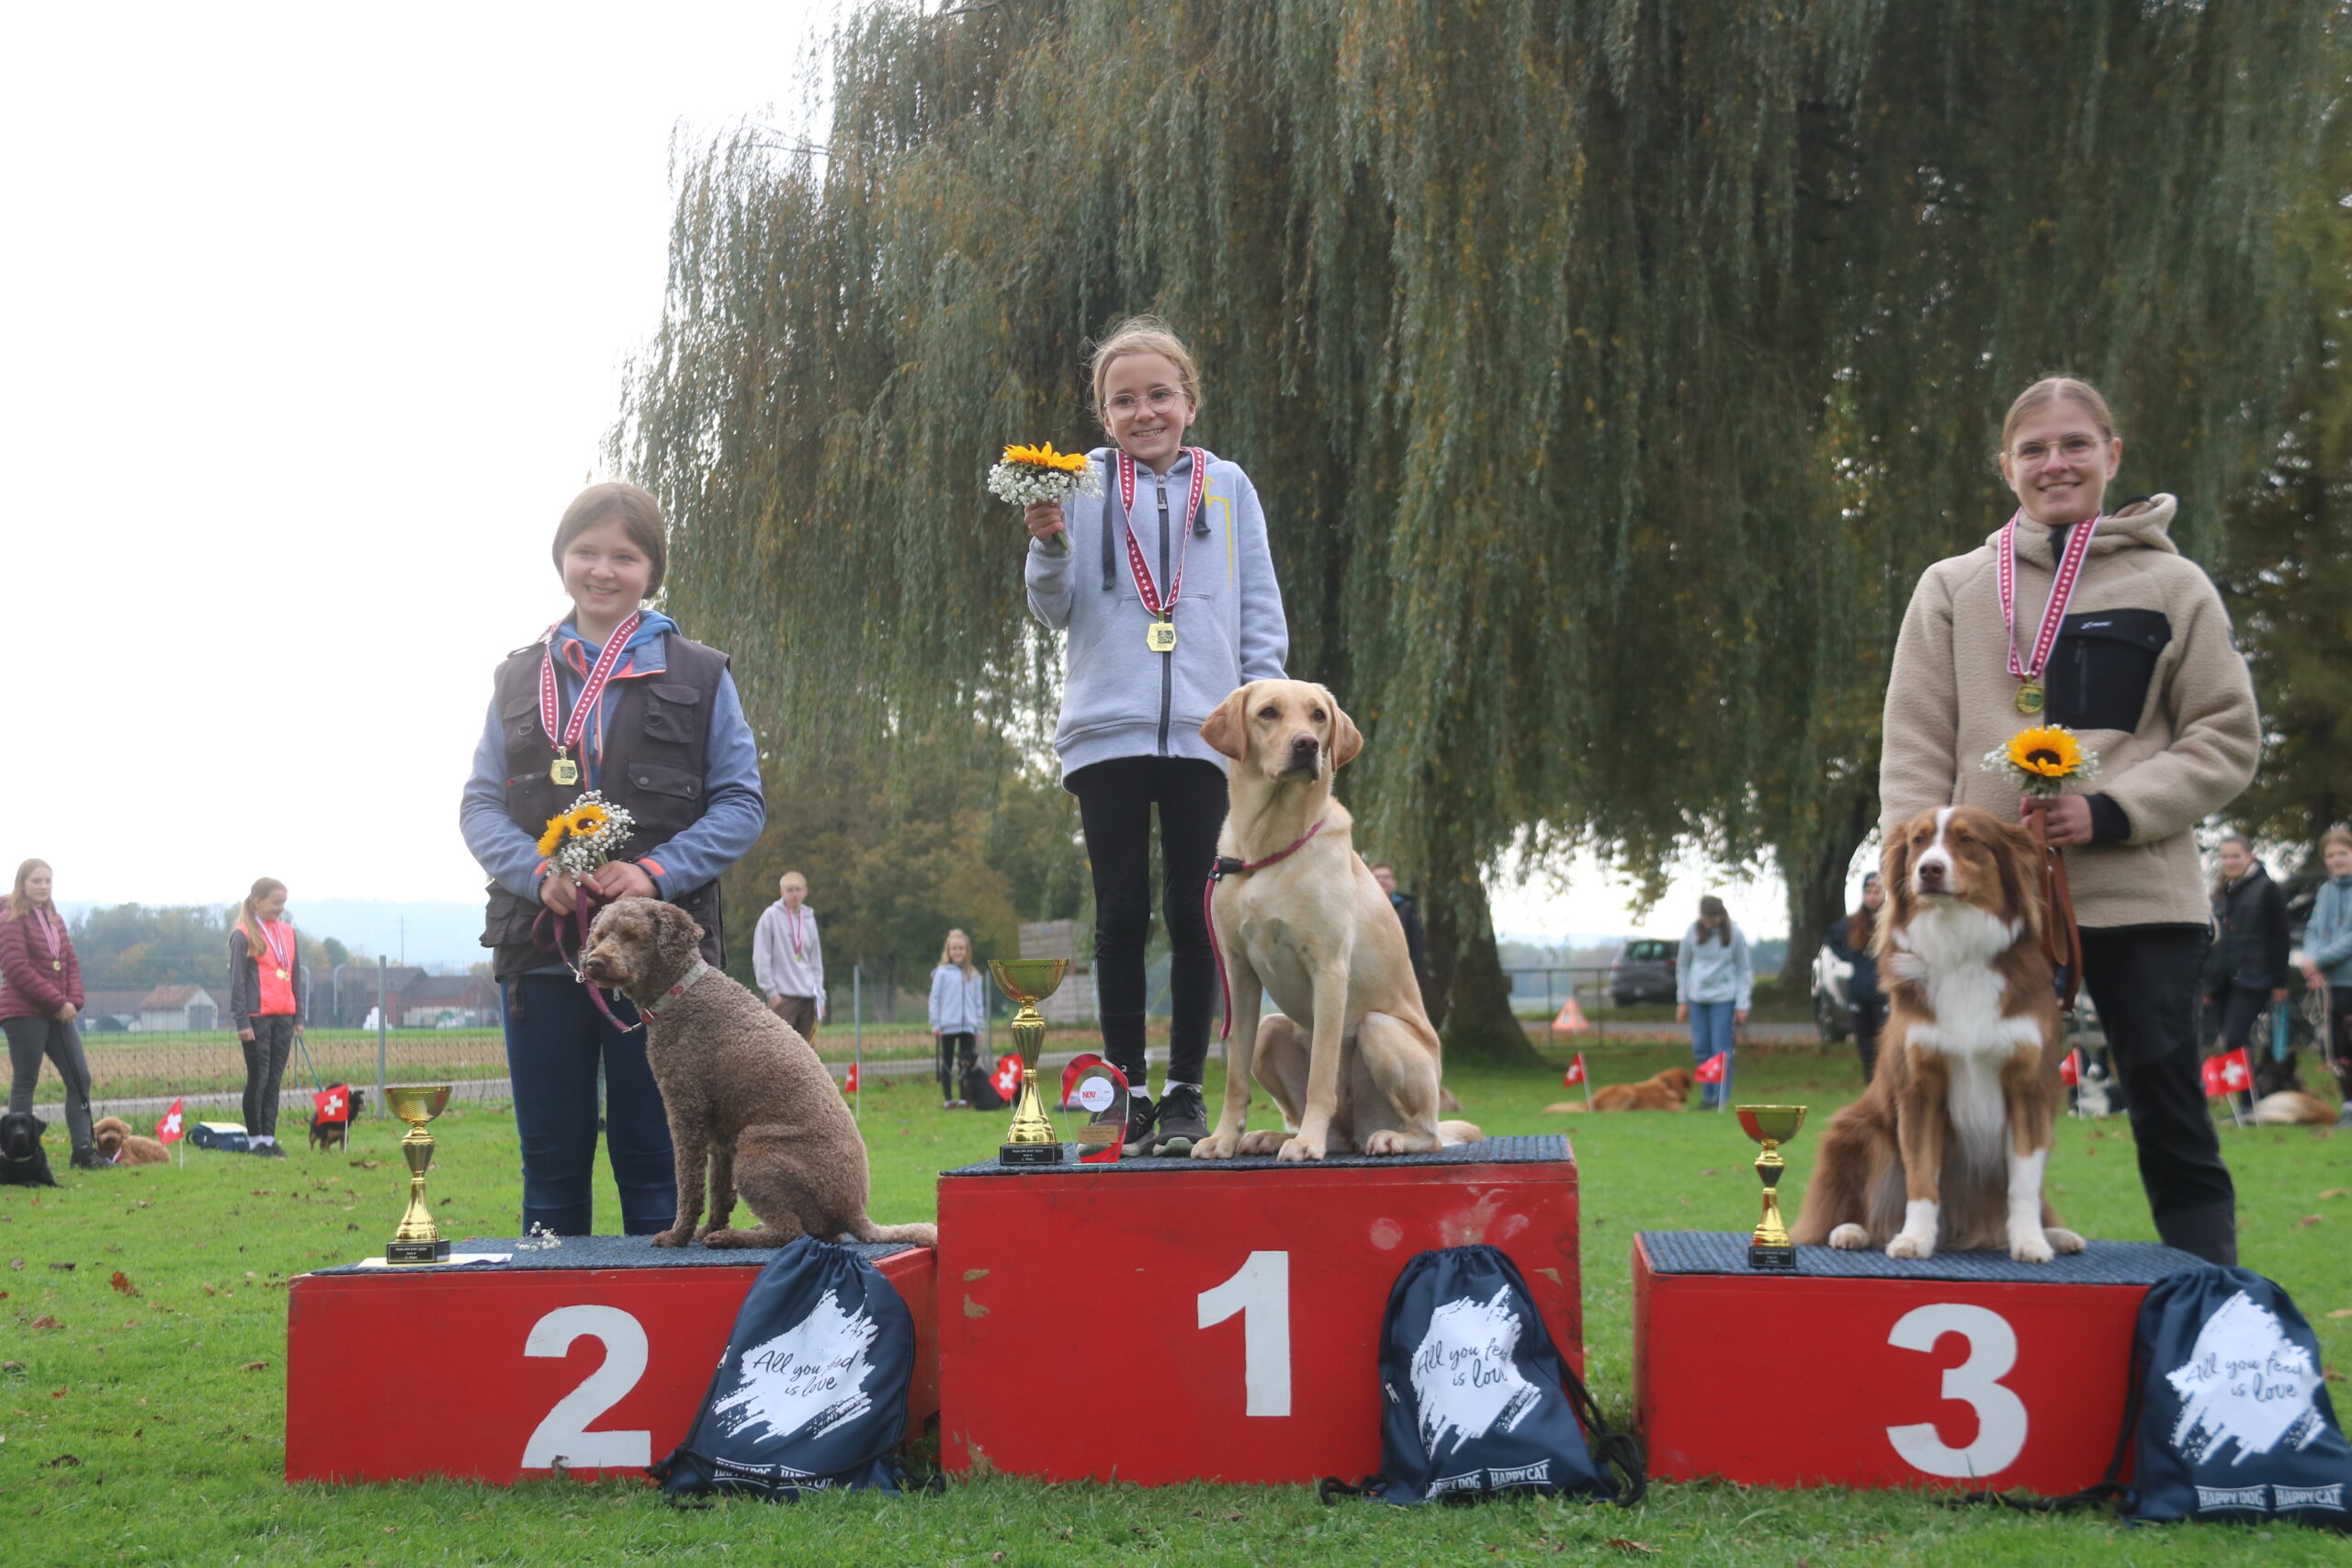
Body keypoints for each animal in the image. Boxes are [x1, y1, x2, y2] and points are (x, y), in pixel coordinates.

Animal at [578, 893, 935, 1250]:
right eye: (600, 935)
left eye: (632, 936)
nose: (593, 962)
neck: (683, 992)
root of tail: (855, 1211)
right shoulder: (720, 1133)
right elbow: (720, 1191)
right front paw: (706, 1228)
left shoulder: (686, 1111)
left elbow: (689, 1185)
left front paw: (678, 1235)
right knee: (813, 1231)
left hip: (756, 1150)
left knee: (789, 1232)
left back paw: (729, 1238)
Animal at [1194, 677, 1467, 1166]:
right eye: (1268, 712)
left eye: (1318, 716)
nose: (1306, 745)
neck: (1268, 845)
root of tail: (1360, 1129)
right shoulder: (1239, 975)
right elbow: (1234, 1077)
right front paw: (1223, 1138)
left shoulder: (1329, 970)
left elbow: (1322, 1075)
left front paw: (1307, 1143)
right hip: (1270, 1030)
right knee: (1331, 1127)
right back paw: (1272, 1136)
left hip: (1381, 1031)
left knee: (1428, 1132)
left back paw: (1386, 1138)